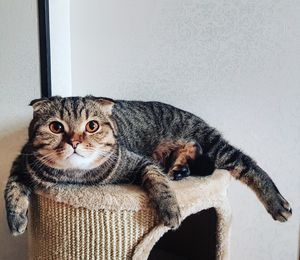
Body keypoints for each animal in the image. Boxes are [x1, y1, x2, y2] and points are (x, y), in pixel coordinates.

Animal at [4, 95, 290, 236]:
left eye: (92, 126)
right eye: (56, 127)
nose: (74, 141)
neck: (76, 176)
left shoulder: (142, 162)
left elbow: (158, 182)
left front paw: (171, 210)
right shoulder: (22, 161)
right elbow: (12, 189)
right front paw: (16, 221)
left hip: (214, 147)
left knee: (246, 163)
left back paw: (278, 204)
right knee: (192, 151)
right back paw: (179, 169)